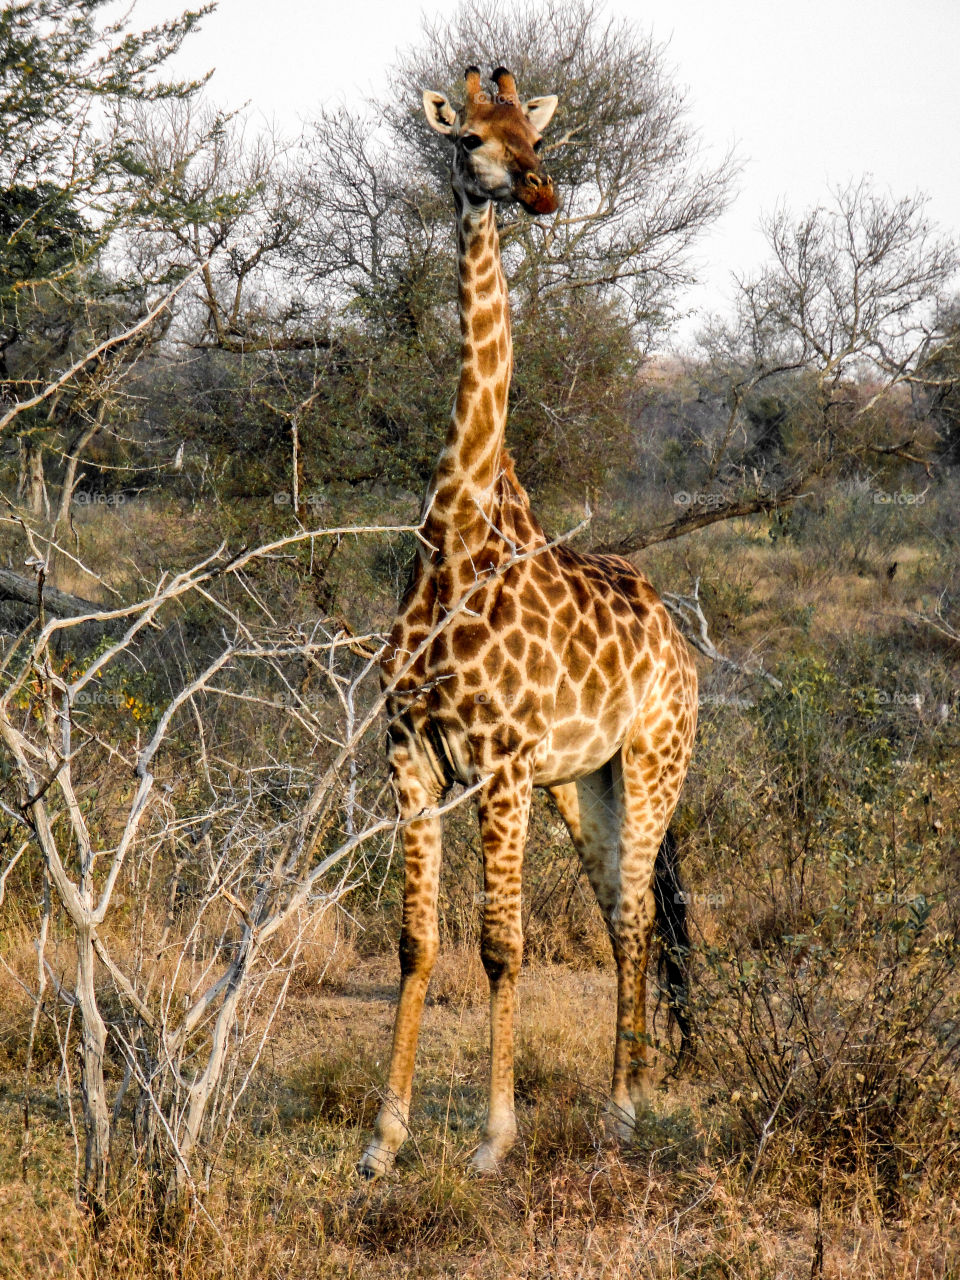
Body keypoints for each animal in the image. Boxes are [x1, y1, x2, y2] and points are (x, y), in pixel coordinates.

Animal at [358, 67, 697, 1178]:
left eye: (533, 136)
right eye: (470, 138)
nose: (542, 192)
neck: (454, 538)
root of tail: (677, 639)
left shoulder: (500, 762)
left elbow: (500, 946)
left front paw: (493, 1139)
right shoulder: (410, 752)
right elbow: (418, 939)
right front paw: (385, 1138)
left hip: (653, 760)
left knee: (638, 913)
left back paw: (624, 1110)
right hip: (579, 782)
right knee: (618, 913)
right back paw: (617, 1100)